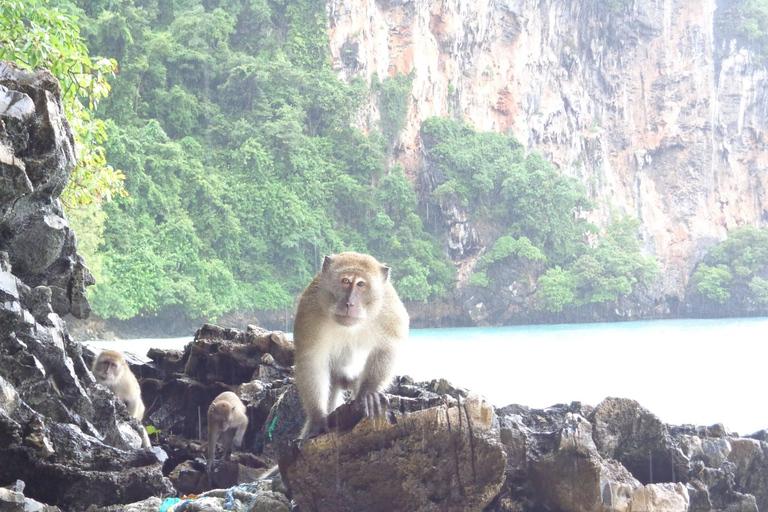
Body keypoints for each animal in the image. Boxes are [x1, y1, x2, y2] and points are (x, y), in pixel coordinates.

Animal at [294, 250, 412, 438]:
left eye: (361, 284)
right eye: (346, 281)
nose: (349, 303)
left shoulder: (389, 311)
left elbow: (387, 348)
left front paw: (368, 393)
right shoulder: (309, 311)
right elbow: (312, 361)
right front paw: (317, 418)